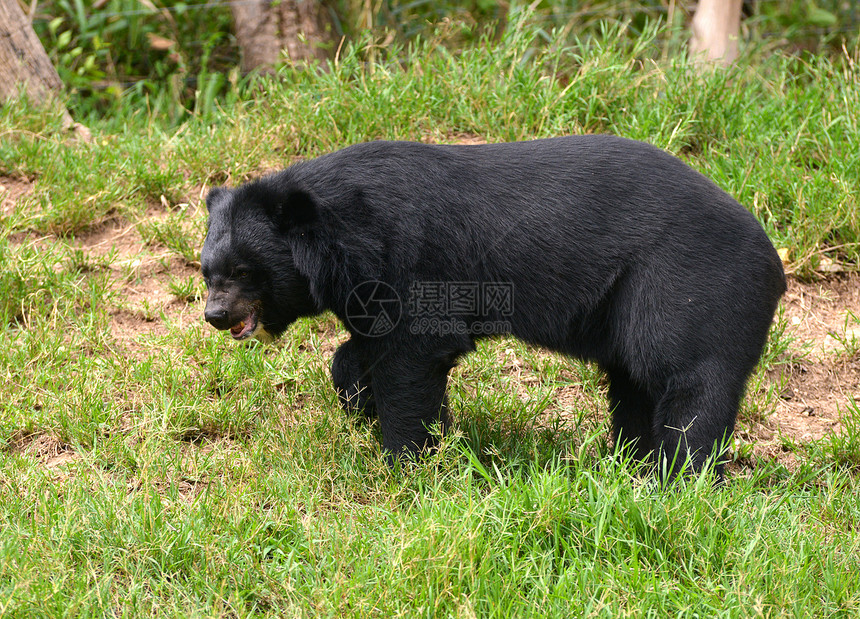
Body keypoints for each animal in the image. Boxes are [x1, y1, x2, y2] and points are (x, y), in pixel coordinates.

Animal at [202, 138, 788, 482]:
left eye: (243, 271)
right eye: (207, 271)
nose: (214, 316)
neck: (344, 237)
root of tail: (773, 262)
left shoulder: (411, 259)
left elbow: (415, 355)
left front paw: (408, 460)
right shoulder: (368, 287)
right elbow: (363, 350)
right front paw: (361, 404)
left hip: (689, 284)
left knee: (688, 381)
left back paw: (680, 478)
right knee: (635, 384)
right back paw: (632, 466)